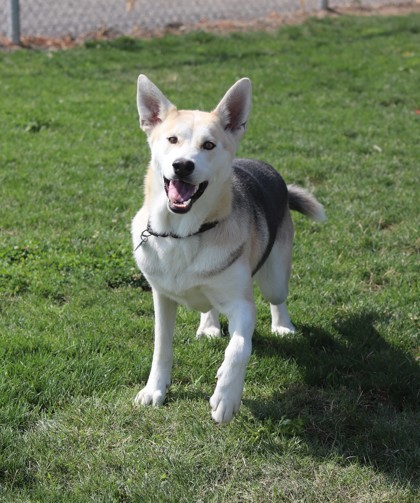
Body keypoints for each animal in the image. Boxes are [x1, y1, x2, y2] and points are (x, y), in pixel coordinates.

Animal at [131, 76, 324, 426]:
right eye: (172, 139)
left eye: (209, 145)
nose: (182, 165)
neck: (185, 233)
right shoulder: (162, 297)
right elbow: (161, 347)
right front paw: (154, 390)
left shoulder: (242, 305)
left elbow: (239, 348)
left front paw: (227, 396)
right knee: (209, 304)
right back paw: (209, 324)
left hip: (275, 278)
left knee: (276, 298)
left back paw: (282, 326)